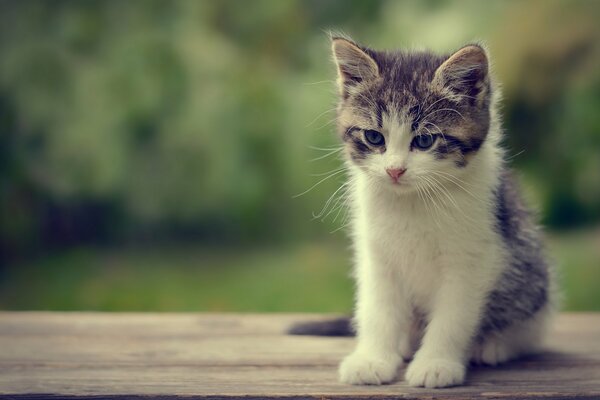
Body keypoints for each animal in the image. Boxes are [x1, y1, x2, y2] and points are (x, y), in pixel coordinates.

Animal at [292, 37, 556, 388]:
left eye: (425, 140)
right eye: (374, 137)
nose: (394, 170)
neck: (413, 202)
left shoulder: (473, 258)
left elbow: (453, 316)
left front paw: (436, 363)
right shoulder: (376, 254)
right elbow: (377, 308)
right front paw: (372, 358)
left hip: (532, 275)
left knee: (530, 327)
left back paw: (493, 345)